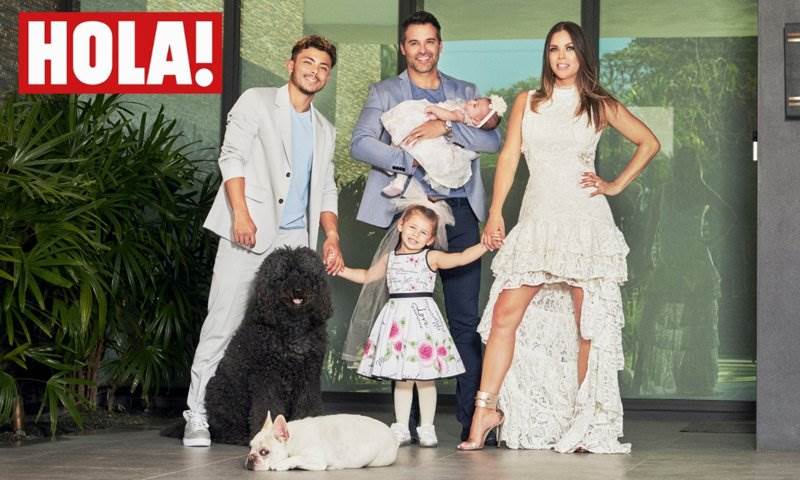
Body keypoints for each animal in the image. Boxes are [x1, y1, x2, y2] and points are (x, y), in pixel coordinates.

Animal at [202, 246, 332, 445]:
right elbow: (267, 407)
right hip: (221, 392)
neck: (293, 327)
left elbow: (307, 406)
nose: (298, 290)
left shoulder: (308, 376)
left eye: (305, 273)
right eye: (283, 275)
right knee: (222, 427)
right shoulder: (267, 378)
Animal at [245, 412, 398, 471]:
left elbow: (296, 457)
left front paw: (281, 464)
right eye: (250, 447)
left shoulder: (316, 460)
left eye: (264, 452)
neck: (292, 440)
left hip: (377, 461)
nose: (250, 458)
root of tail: (393, 435)